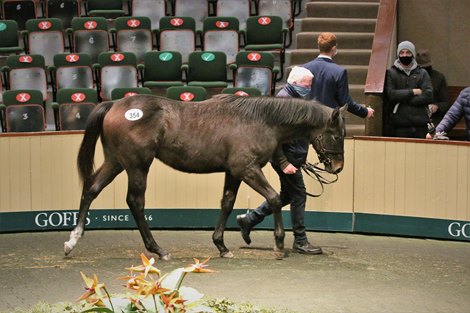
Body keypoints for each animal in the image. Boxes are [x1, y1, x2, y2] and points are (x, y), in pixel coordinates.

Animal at [64, 93, 346, 258]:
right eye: (335, 134)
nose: (337, 167)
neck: (260, 120)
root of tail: (114, 105)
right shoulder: (247, 169)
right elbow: (275, 198)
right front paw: (278, 245)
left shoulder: (233, 172)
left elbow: (227, 203)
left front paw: (221, 245)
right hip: (137, 165)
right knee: (135, 202)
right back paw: (158, 250)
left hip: (115, 162)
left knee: (91, 188)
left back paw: (72, 240)